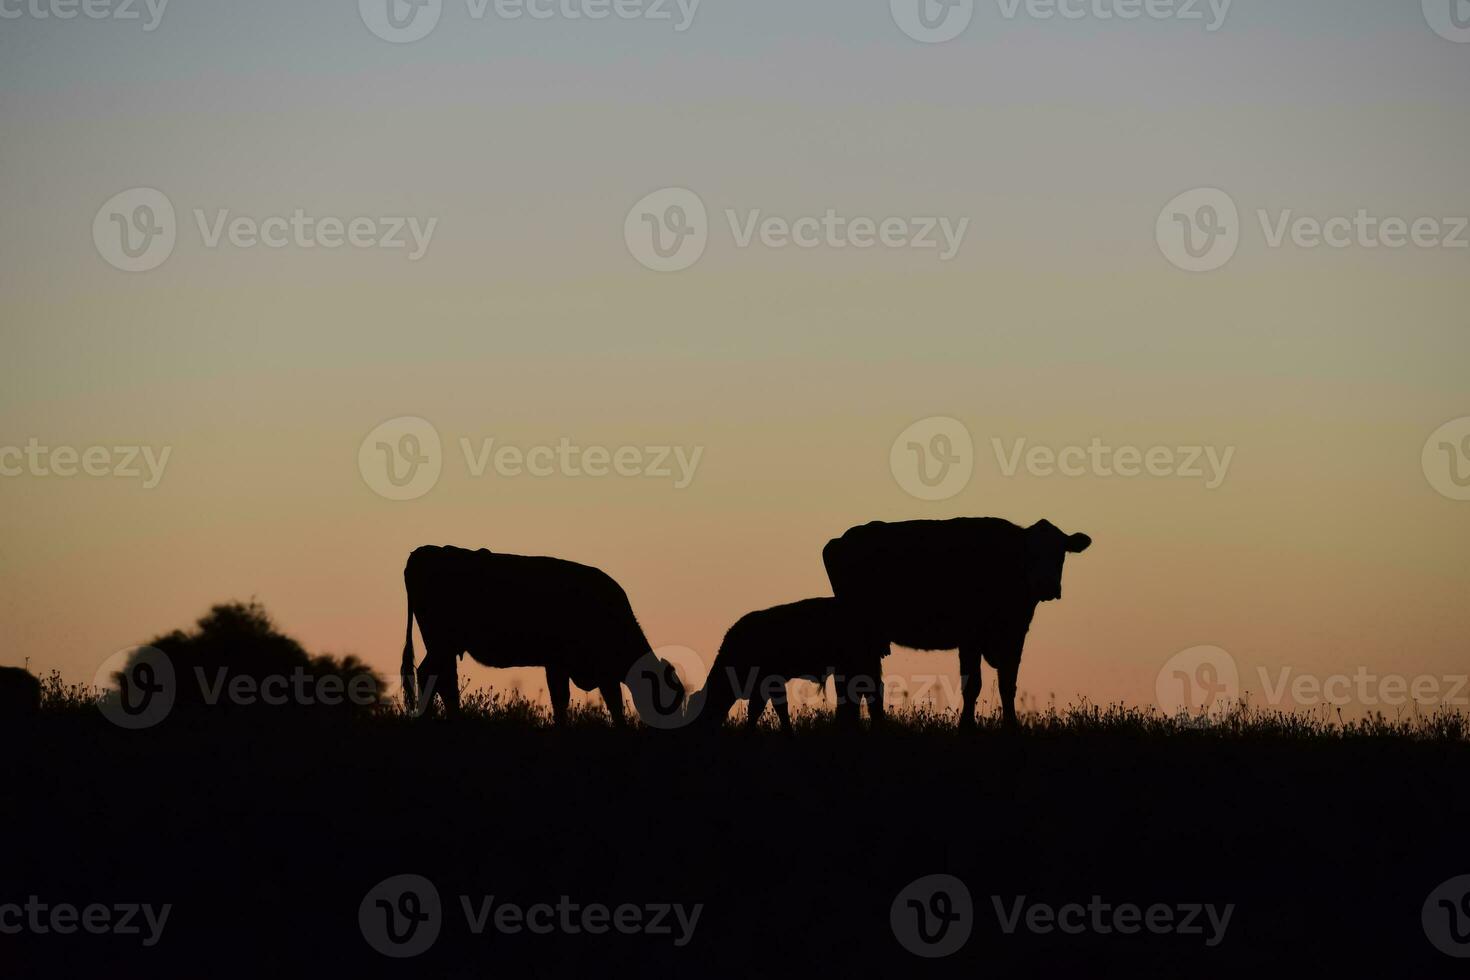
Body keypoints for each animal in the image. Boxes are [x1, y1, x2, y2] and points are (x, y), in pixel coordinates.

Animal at [396, 543, 682, 728]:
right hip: (441, 643)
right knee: (431, 675)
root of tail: (424, 551)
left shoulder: (574, 667)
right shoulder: (569, 664)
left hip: (443, 645)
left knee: (444, 680)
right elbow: (579, 700)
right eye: (668, 701)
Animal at [829, 520, 1093, 728]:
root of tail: (841, 539)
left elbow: (1008, 684)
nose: (1046, 584)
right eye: (1029, 554)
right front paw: (967, 727)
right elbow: (972, 684)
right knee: (855, 680)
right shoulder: (971, 637)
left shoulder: (1015, 634)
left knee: (861, 680)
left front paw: (1011, 727)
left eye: (1061, 554)